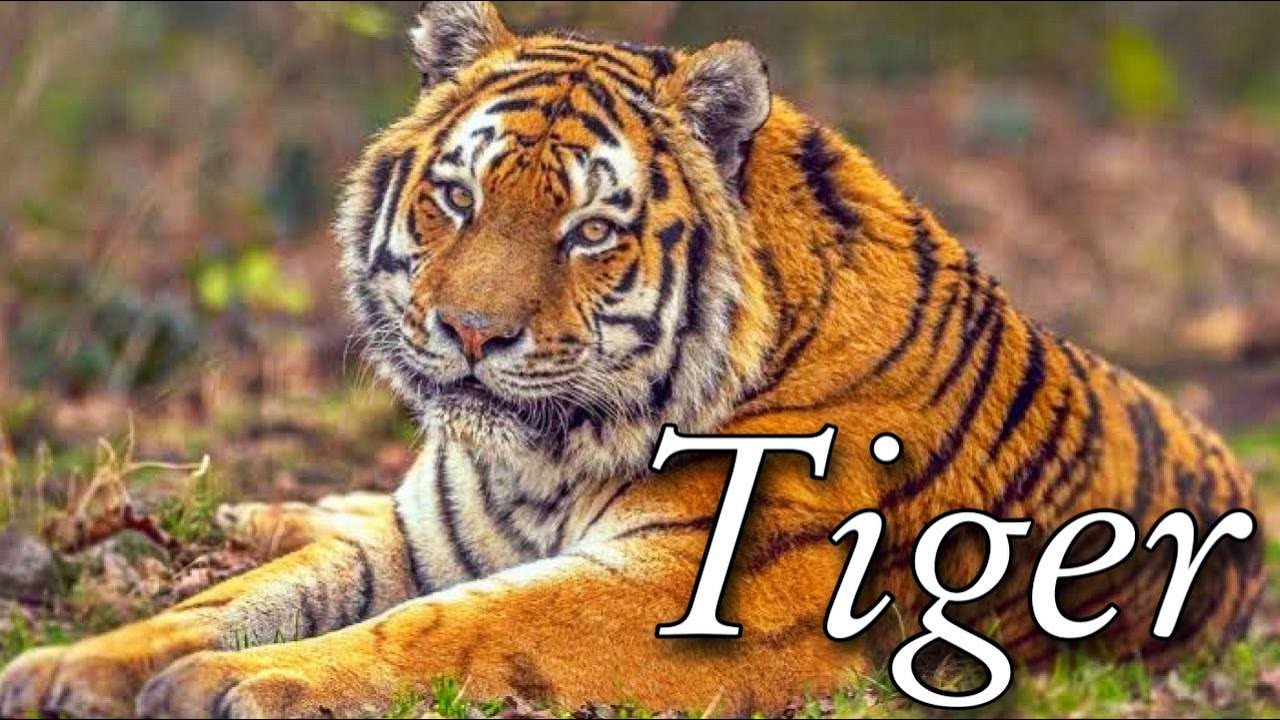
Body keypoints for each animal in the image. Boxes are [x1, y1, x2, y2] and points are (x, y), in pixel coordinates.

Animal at [0, 2, 1263, 717]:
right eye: (457, 199)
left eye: (589, 232)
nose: (471, 334)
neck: (538, 462)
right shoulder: (420, 538)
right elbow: (234, 601)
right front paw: (72, 664)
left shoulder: (687, 594)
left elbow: (452, 627)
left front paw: (245, 686)